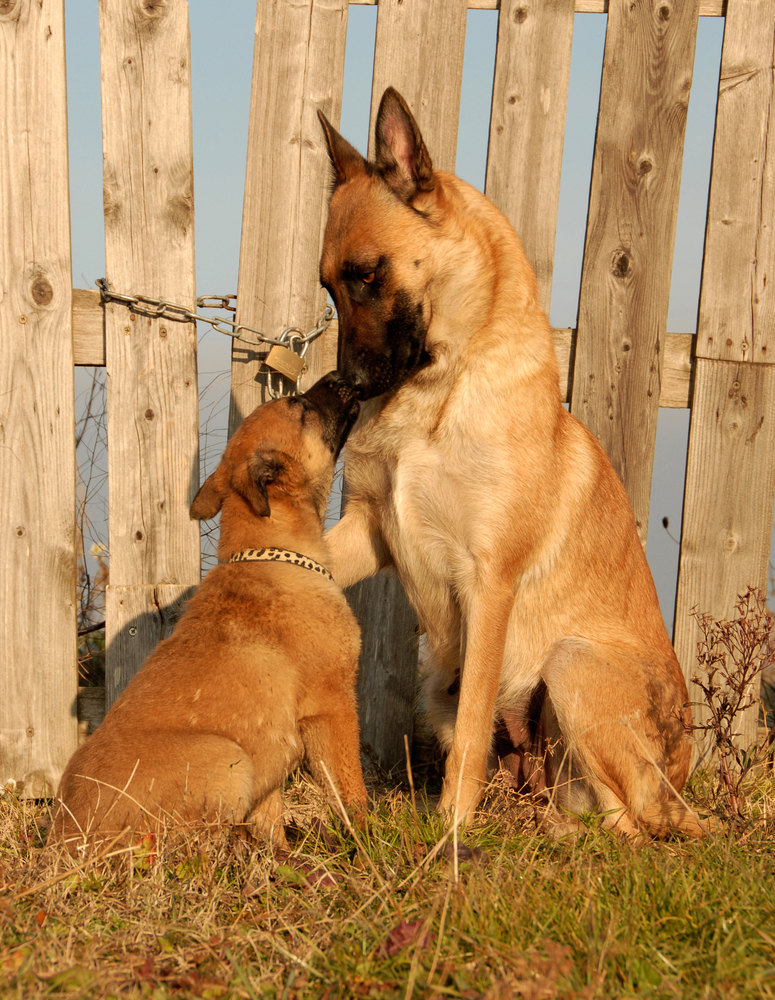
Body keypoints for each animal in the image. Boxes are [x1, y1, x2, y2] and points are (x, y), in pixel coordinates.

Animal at [51, 374, 366, 852]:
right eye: (299, 405)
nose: (343, 377)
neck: (272, 551)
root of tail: (68, 842)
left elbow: (272, 817)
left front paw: (280, 857)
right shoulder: (332, 706)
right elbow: (351, 790)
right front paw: (371, 839)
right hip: (227, 757)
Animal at [318, 86, 708, 840]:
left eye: (369, 275)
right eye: (329, 288)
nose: (346, 387)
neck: (439, 390)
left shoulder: (488, 584)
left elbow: (473, 728)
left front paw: (450, 830)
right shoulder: (369, 531)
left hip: (572, 664)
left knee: (630, 824)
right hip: (446, 686)